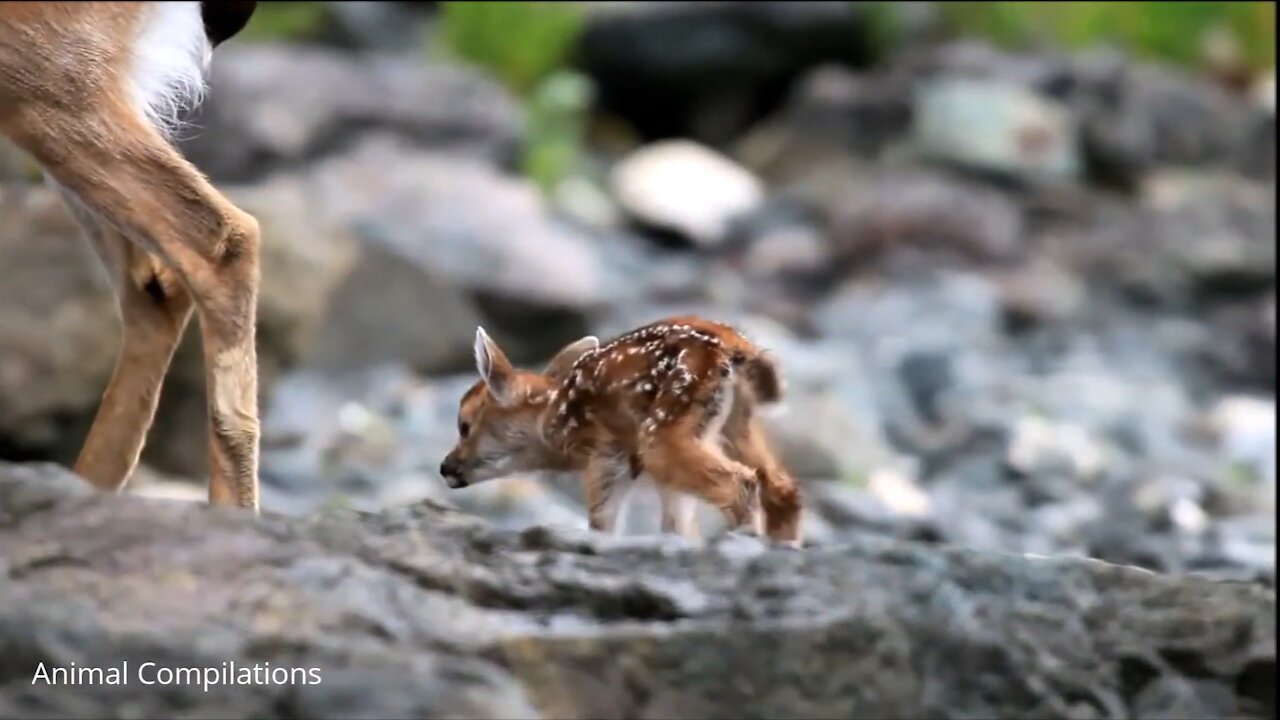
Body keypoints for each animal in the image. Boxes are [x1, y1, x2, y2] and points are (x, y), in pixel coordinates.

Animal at [440, 313, 798, 543]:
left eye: (464, 425)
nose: (445, 466)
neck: (551, 419)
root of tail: (734, 347)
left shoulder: (606, 453)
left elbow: (603, 522)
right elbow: (677, 527)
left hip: (662, 430)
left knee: (742, 482)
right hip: (734, 421)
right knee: (781, 486)